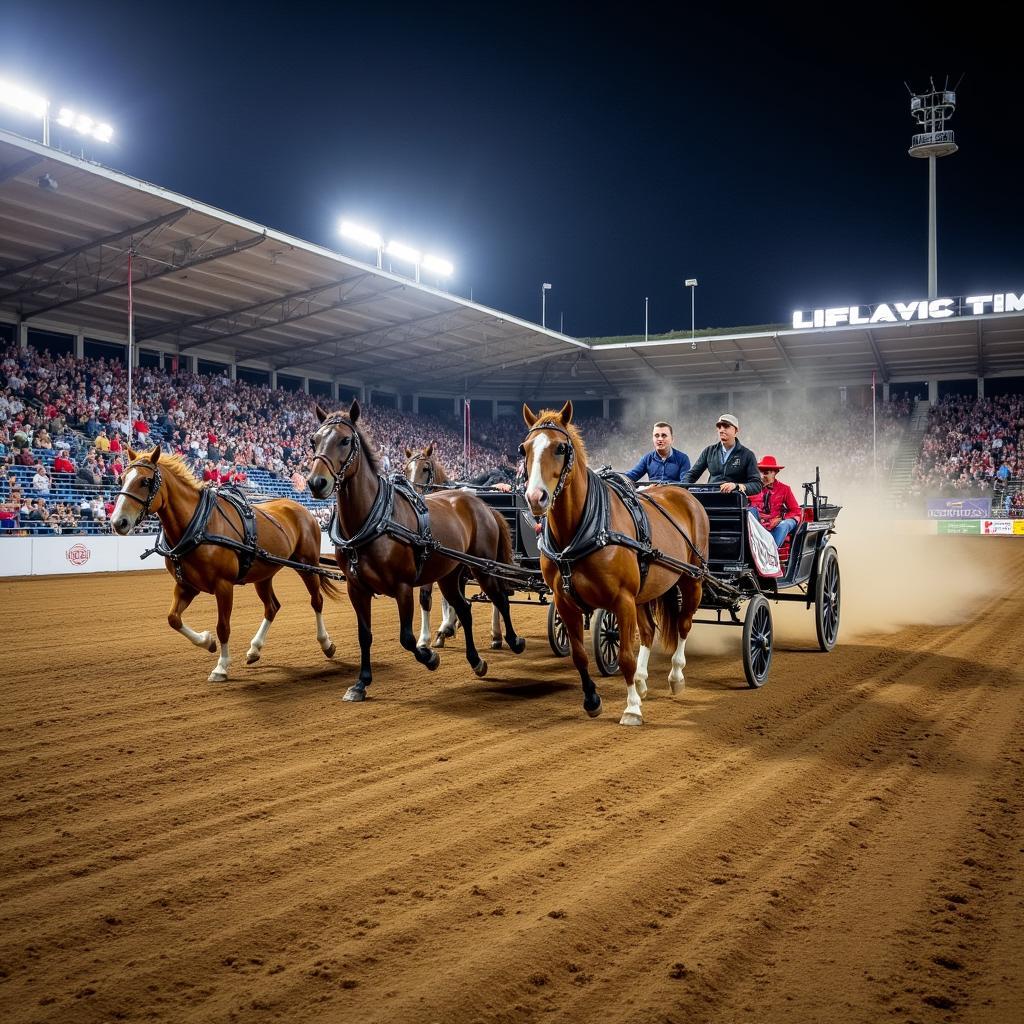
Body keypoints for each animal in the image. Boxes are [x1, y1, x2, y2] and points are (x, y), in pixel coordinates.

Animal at [113, 446, 339, 679]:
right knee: (272, 607)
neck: (199, 525)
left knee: (317, 601)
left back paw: (326, 643)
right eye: (121, 479)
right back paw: (254, 649)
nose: (118, 522)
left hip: (307, 565)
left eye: (145, 481)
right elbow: (173, 619)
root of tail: (303, 509)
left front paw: (221, 666)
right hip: (263, 573)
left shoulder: (223, 585)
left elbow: (223, 626)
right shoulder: (186, 585)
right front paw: (207, 641)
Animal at [307, 401, 524, 704]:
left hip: (483, 567)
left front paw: (430, 657)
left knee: (500, 599)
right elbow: (365, 635)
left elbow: (406, 637)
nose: (317, 483)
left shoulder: (402, 586)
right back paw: (475, 660)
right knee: (465, 608)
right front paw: (361, 683)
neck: (374, 519)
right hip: (450, 573)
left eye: (345, 440)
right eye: (313, 440)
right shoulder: (356, 588)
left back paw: (512, 640)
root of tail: (482, 503)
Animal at [520, 395, 712, 724]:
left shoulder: (621, 599)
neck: (584, 531)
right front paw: (592, 700)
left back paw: (675, 678)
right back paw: (643, 680)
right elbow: (579, 655)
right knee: (648, 632)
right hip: (647, 589)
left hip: (692, 578)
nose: (535, 498)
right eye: (524, 448)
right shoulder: (564, 600)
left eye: (560, 448)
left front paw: (632, 708)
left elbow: (624, 656)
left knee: (684, 625)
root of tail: (685, 495)